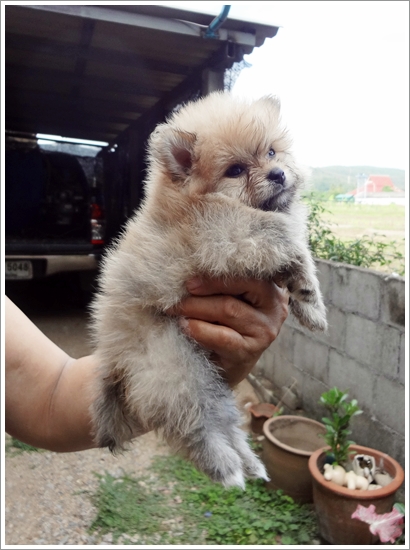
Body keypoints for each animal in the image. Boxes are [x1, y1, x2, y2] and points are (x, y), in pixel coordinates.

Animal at [90, 92, 327, 489]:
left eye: (272, 152)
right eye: (235, 170)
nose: (278, 174)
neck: (195, 203)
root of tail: (112, 357)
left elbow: (297, 253)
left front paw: (310, 303)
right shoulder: (223, 235)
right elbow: (279, 232)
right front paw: (307, 291)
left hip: (206, 379)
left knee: (227, 423)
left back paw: (251, 464)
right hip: (177, 366)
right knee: (194, 423)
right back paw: (227, 469)